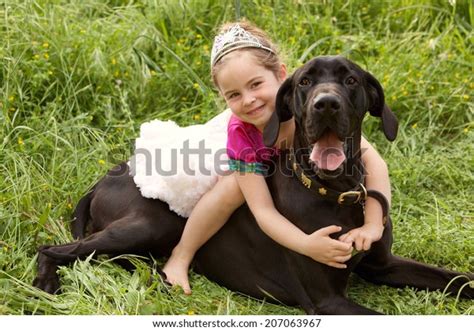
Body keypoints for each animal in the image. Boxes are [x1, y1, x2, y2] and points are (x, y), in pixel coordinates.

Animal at [32, 55, 470, 316]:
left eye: (349, 80)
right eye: (305, 82)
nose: (325, 104)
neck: (335, 190)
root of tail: (105, 176)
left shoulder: (383, 264)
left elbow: (459, 279)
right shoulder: (327, 301)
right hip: (151, 223)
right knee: (52, 248)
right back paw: (45, 284)